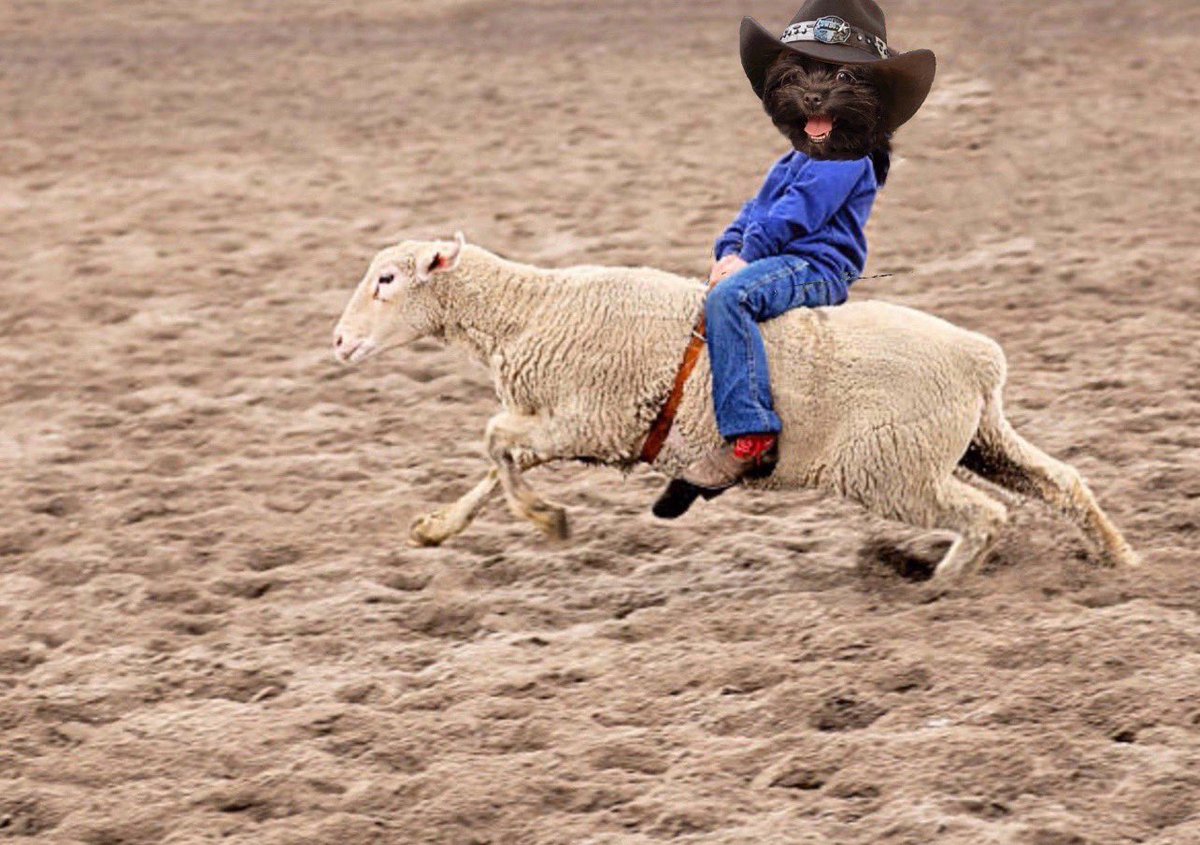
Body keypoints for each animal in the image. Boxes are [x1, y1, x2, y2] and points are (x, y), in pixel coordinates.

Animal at [333, 236, 1137, 580]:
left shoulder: (590, 421)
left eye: (386, 279)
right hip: (975, 442)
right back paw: (1119, 557)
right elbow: (492, 460)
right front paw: (437, 528)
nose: (337, 341)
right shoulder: (565, 424)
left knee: (987, 517)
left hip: (891, 469)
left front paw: (547, 519)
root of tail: (977, 357)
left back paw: (939, 584)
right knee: (1062, 483)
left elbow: (494, 442)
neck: (531, 310)